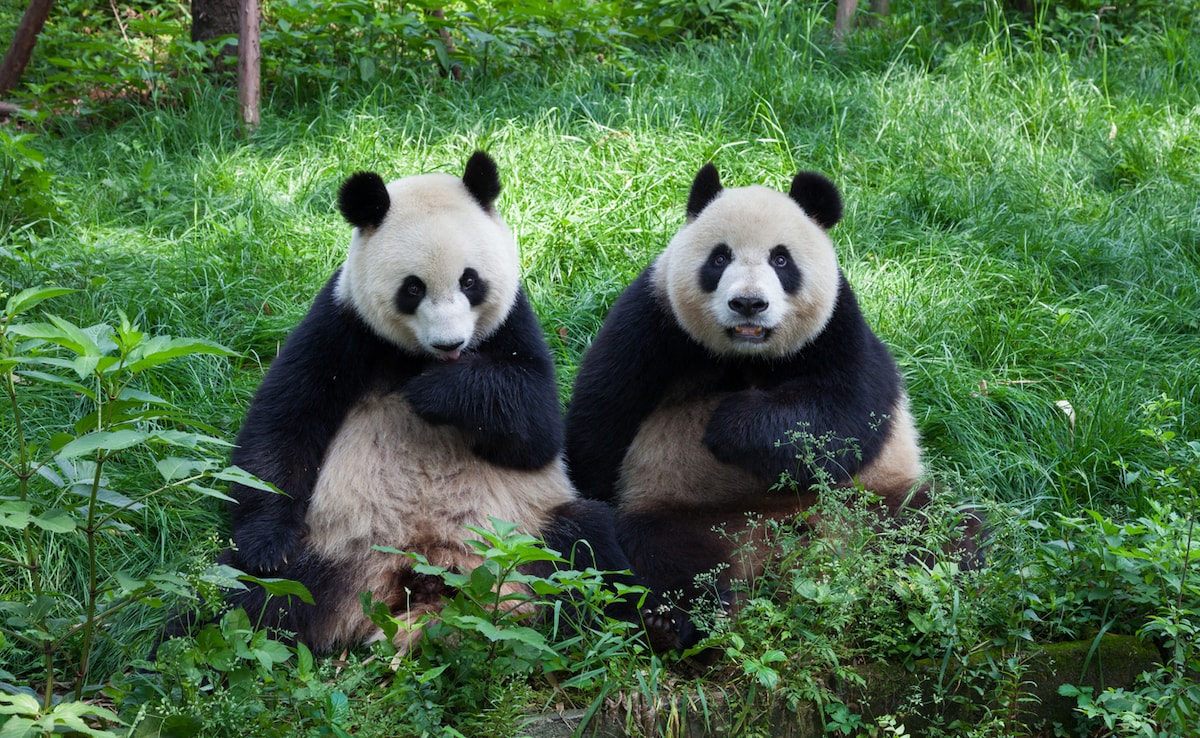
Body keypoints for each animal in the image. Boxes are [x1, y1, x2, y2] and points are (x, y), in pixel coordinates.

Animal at [219, 151, 659, 654]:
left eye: (470, 281)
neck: (418, 357)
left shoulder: (512, 321)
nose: (450, 344)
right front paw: (268, 547)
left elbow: (538, 431)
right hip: (331, 548)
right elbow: (286, 419)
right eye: (412, 288)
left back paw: (634, 626)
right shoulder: (343, 322)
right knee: (245, 595)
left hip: (528, 532)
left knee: (587, 552)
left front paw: (436, 392)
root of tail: (425, 582)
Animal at [565, 163, 937, 643]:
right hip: (687, 511)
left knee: (933, 530)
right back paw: (675, 620)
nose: (748, 304)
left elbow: (846, 416)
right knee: (661, 550)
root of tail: (773, 556)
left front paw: (730, 424)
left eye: (781, 260)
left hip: (869, 504)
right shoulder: (654, 320)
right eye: (719, 258)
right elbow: (603, 413)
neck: (747, 355)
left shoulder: (838, 327)